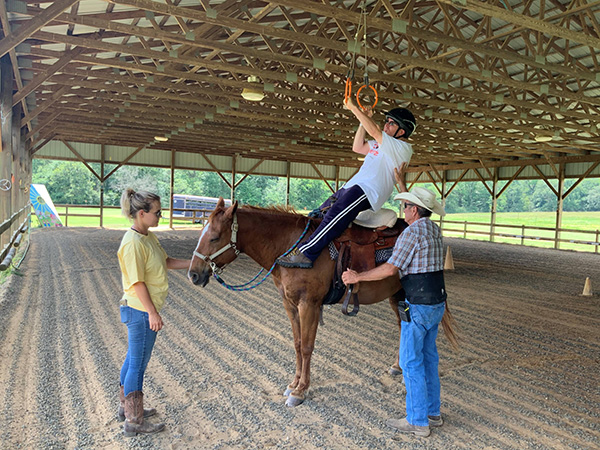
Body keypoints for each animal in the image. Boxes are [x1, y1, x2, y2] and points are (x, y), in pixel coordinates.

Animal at [190, 199, 458, 406]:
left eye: (214, 238)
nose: (193, 274)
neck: (293, 249)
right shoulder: (290, 305)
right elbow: (297, 344)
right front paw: (293, 384)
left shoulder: (308, 305)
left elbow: (307, 347)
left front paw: (300, 391)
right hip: (396, 296)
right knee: (403, 327)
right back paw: (397, 366)